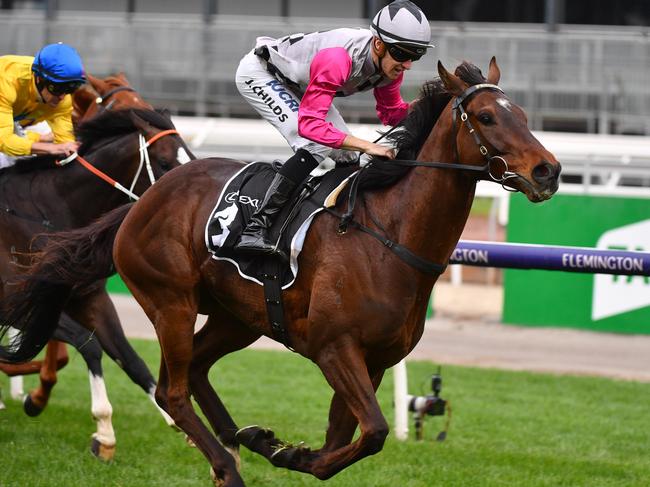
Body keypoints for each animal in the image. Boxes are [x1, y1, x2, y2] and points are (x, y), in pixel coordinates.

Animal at [0, 107, 194, 462]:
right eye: (164, 162)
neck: (47, 213)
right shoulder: (15, 304)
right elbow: (88, 344)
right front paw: (104, 432)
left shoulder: (90, 298)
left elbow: (131, 359)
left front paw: (178, 420)